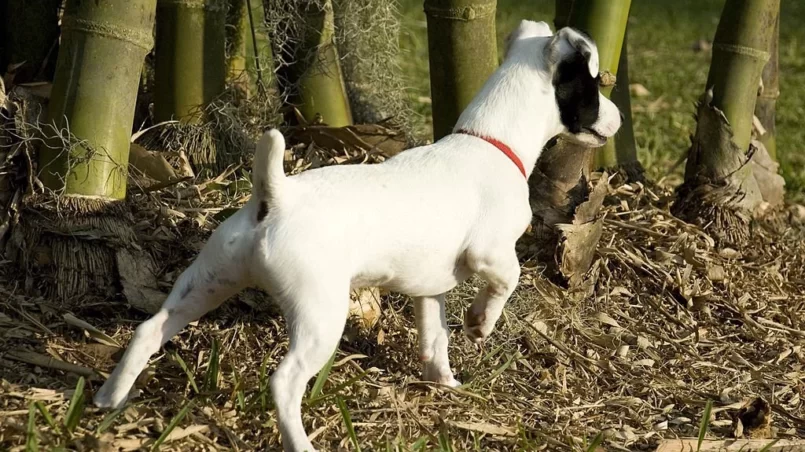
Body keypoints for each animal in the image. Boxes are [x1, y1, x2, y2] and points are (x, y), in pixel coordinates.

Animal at [96, 19, 620, 450]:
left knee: (149, 330)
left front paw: (444, 383)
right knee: (284, 382)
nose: (616, 119)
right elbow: (509, 280)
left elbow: (435, 339)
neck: (489, 141)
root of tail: (275, 197)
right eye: (593, 87)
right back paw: (299, 444)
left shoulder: (429, 291)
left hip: (206, 282)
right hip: (319, 317)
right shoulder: (489, 253)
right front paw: (480, 323)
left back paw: (107, 399)